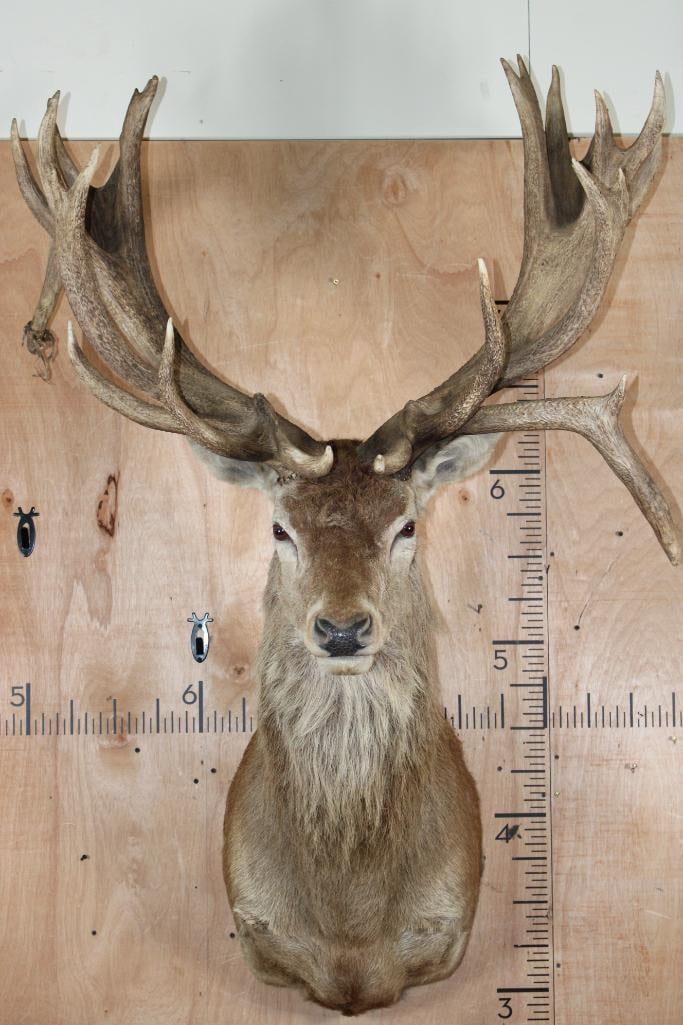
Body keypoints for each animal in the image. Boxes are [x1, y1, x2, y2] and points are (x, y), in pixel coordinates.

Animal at [11, 57, 679, 1016]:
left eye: (405, 524)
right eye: (280, 527)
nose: (340, 627)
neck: (351, 929)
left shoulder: (445, 935)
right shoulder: (258, 939)